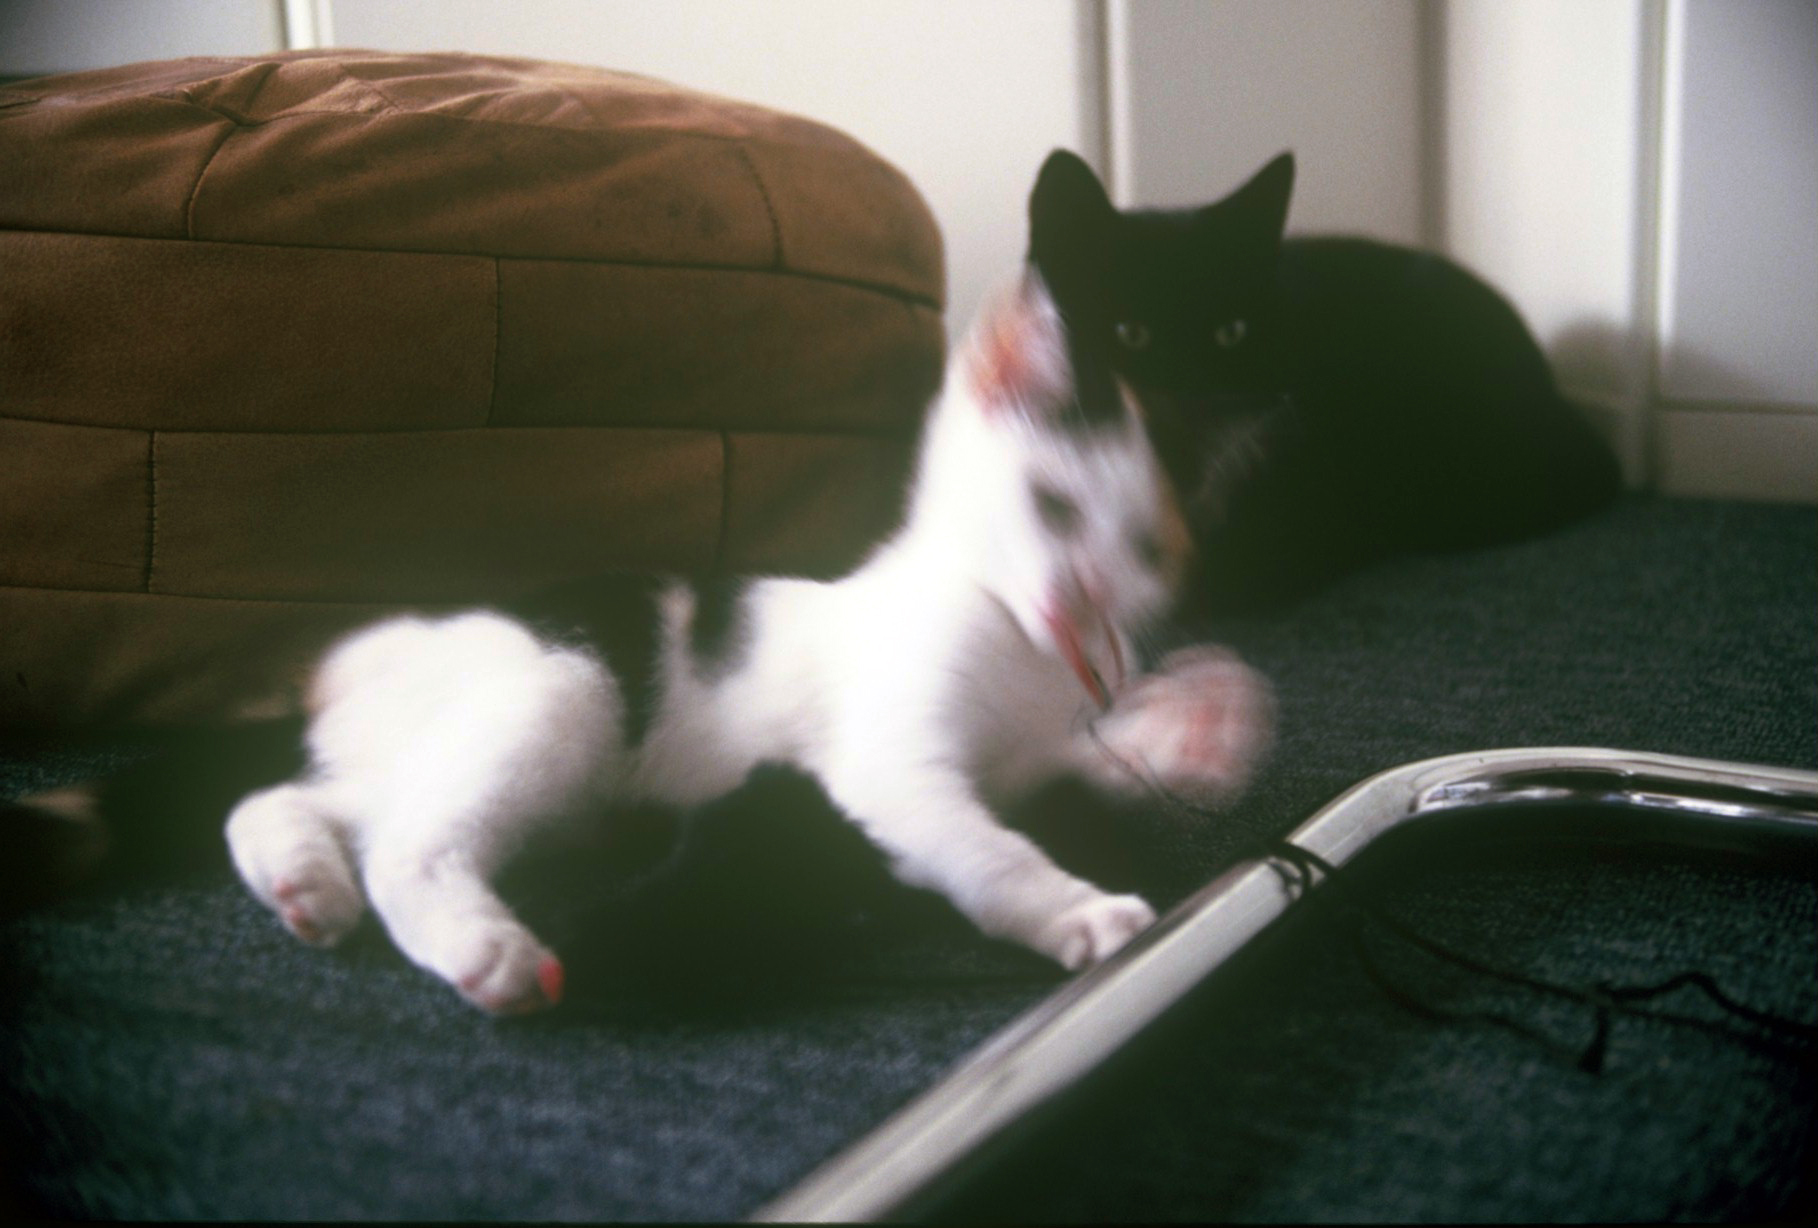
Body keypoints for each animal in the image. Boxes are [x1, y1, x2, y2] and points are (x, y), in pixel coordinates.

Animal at [4, 270, 1271, 1016]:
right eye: (1052, 508)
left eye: (1146, 551)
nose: (1083, 591)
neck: (1013, 643)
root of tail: (361, 666)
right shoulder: (892, 762)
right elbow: (983, 845)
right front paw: (1076, 910)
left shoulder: (1040, 742)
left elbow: (1090, 758)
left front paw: (1200, 727)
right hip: (563, 689)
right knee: (405, 839)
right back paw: (482, 946)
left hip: (473, 753)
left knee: (284, 799)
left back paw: (303, 881)